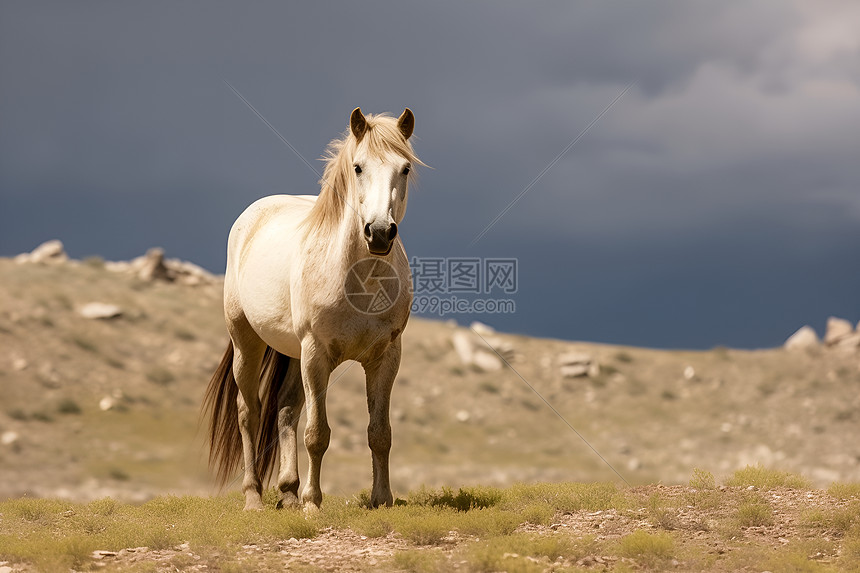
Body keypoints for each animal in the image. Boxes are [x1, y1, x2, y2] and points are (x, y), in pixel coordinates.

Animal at [207, 107, 422, 510]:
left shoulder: (387, 355)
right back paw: (254, 496)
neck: (359, 281)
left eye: (404, 168)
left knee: (285, 409)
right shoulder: (316, 353)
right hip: (248, 342)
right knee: (249, 412)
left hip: (293, 353)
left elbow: (379, 432)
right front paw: (312, 503)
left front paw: (381, 499)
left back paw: (288, 491)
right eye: (357, 167)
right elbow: (317, 433)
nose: (379, 232)